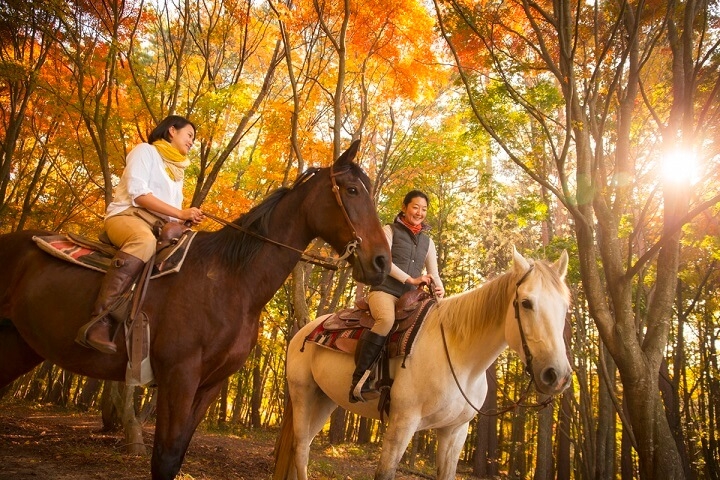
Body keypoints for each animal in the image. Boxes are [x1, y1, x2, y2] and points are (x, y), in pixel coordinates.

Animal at [0, 140, 391, 480]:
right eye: (352, 191)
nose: (382, 262)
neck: (232, 282)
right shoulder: (179, 377)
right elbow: (164, 458)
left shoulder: (210, 385)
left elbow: (176, 455)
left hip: (21, 346)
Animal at [274, 247, 571, 480]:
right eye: (526, 303)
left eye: (566, 306)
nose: (557, 375)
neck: (459, 358)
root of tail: (304, 330)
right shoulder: (402, 423)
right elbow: (384, 473)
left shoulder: (455, 432)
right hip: (302, 393)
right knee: (301, 449)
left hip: (325, 400)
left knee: (306, 444)